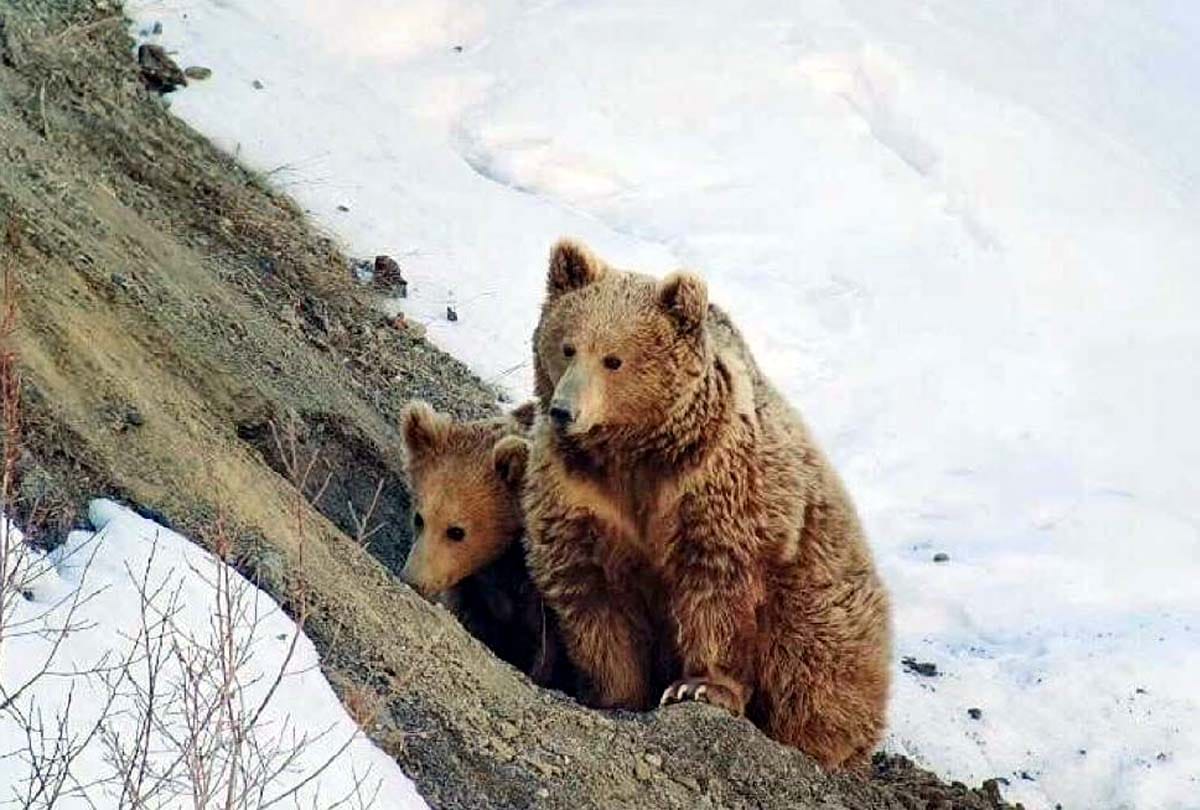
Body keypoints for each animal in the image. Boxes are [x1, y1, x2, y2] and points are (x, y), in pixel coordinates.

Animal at [521, 239, 892, 769]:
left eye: (614, 359)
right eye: (567, 346)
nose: (564, 410)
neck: (635, 455)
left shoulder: (715, 485)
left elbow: (716, 586)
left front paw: (697, 687)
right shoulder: (579, 495)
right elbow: (591, 589)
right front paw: (613, 693)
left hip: (823, 603)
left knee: (813, 673)